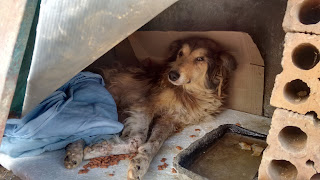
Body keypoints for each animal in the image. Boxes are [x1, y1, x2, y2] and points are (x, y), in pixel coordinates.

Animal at [63, 37, 236, 179]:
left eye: (200, 59)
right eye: (180, 53)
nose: (172, 75)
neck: (191, 93)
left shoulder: (169, 120)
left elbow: (153, 143)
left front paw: (140, 163)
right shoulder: (145, 104)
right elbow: (137, 140)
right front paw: (98, 150)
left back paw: (73, 152)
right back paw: (74, 152)